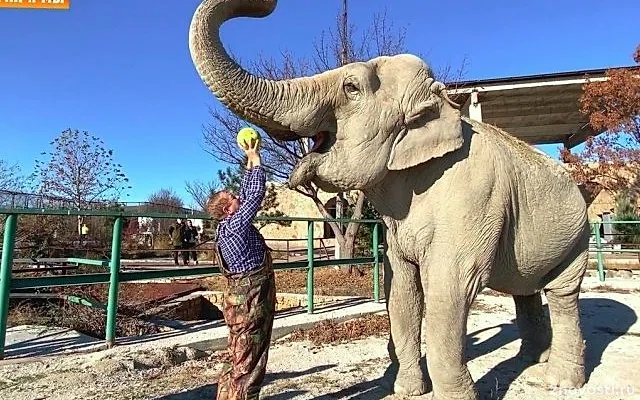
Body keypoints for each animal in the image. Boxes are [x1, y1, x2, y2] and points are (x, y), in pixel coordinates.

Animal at [188, 1, 588, 398]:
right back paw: (531, 360)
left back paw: (559, 380)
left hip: (578, 237)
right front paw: (408, 389)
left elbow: (449, 290)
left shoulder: (474, 200)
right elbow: (401, 292)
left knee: (563, 295)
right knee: (526, 292)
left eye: (351, 87)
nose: (267, 7)